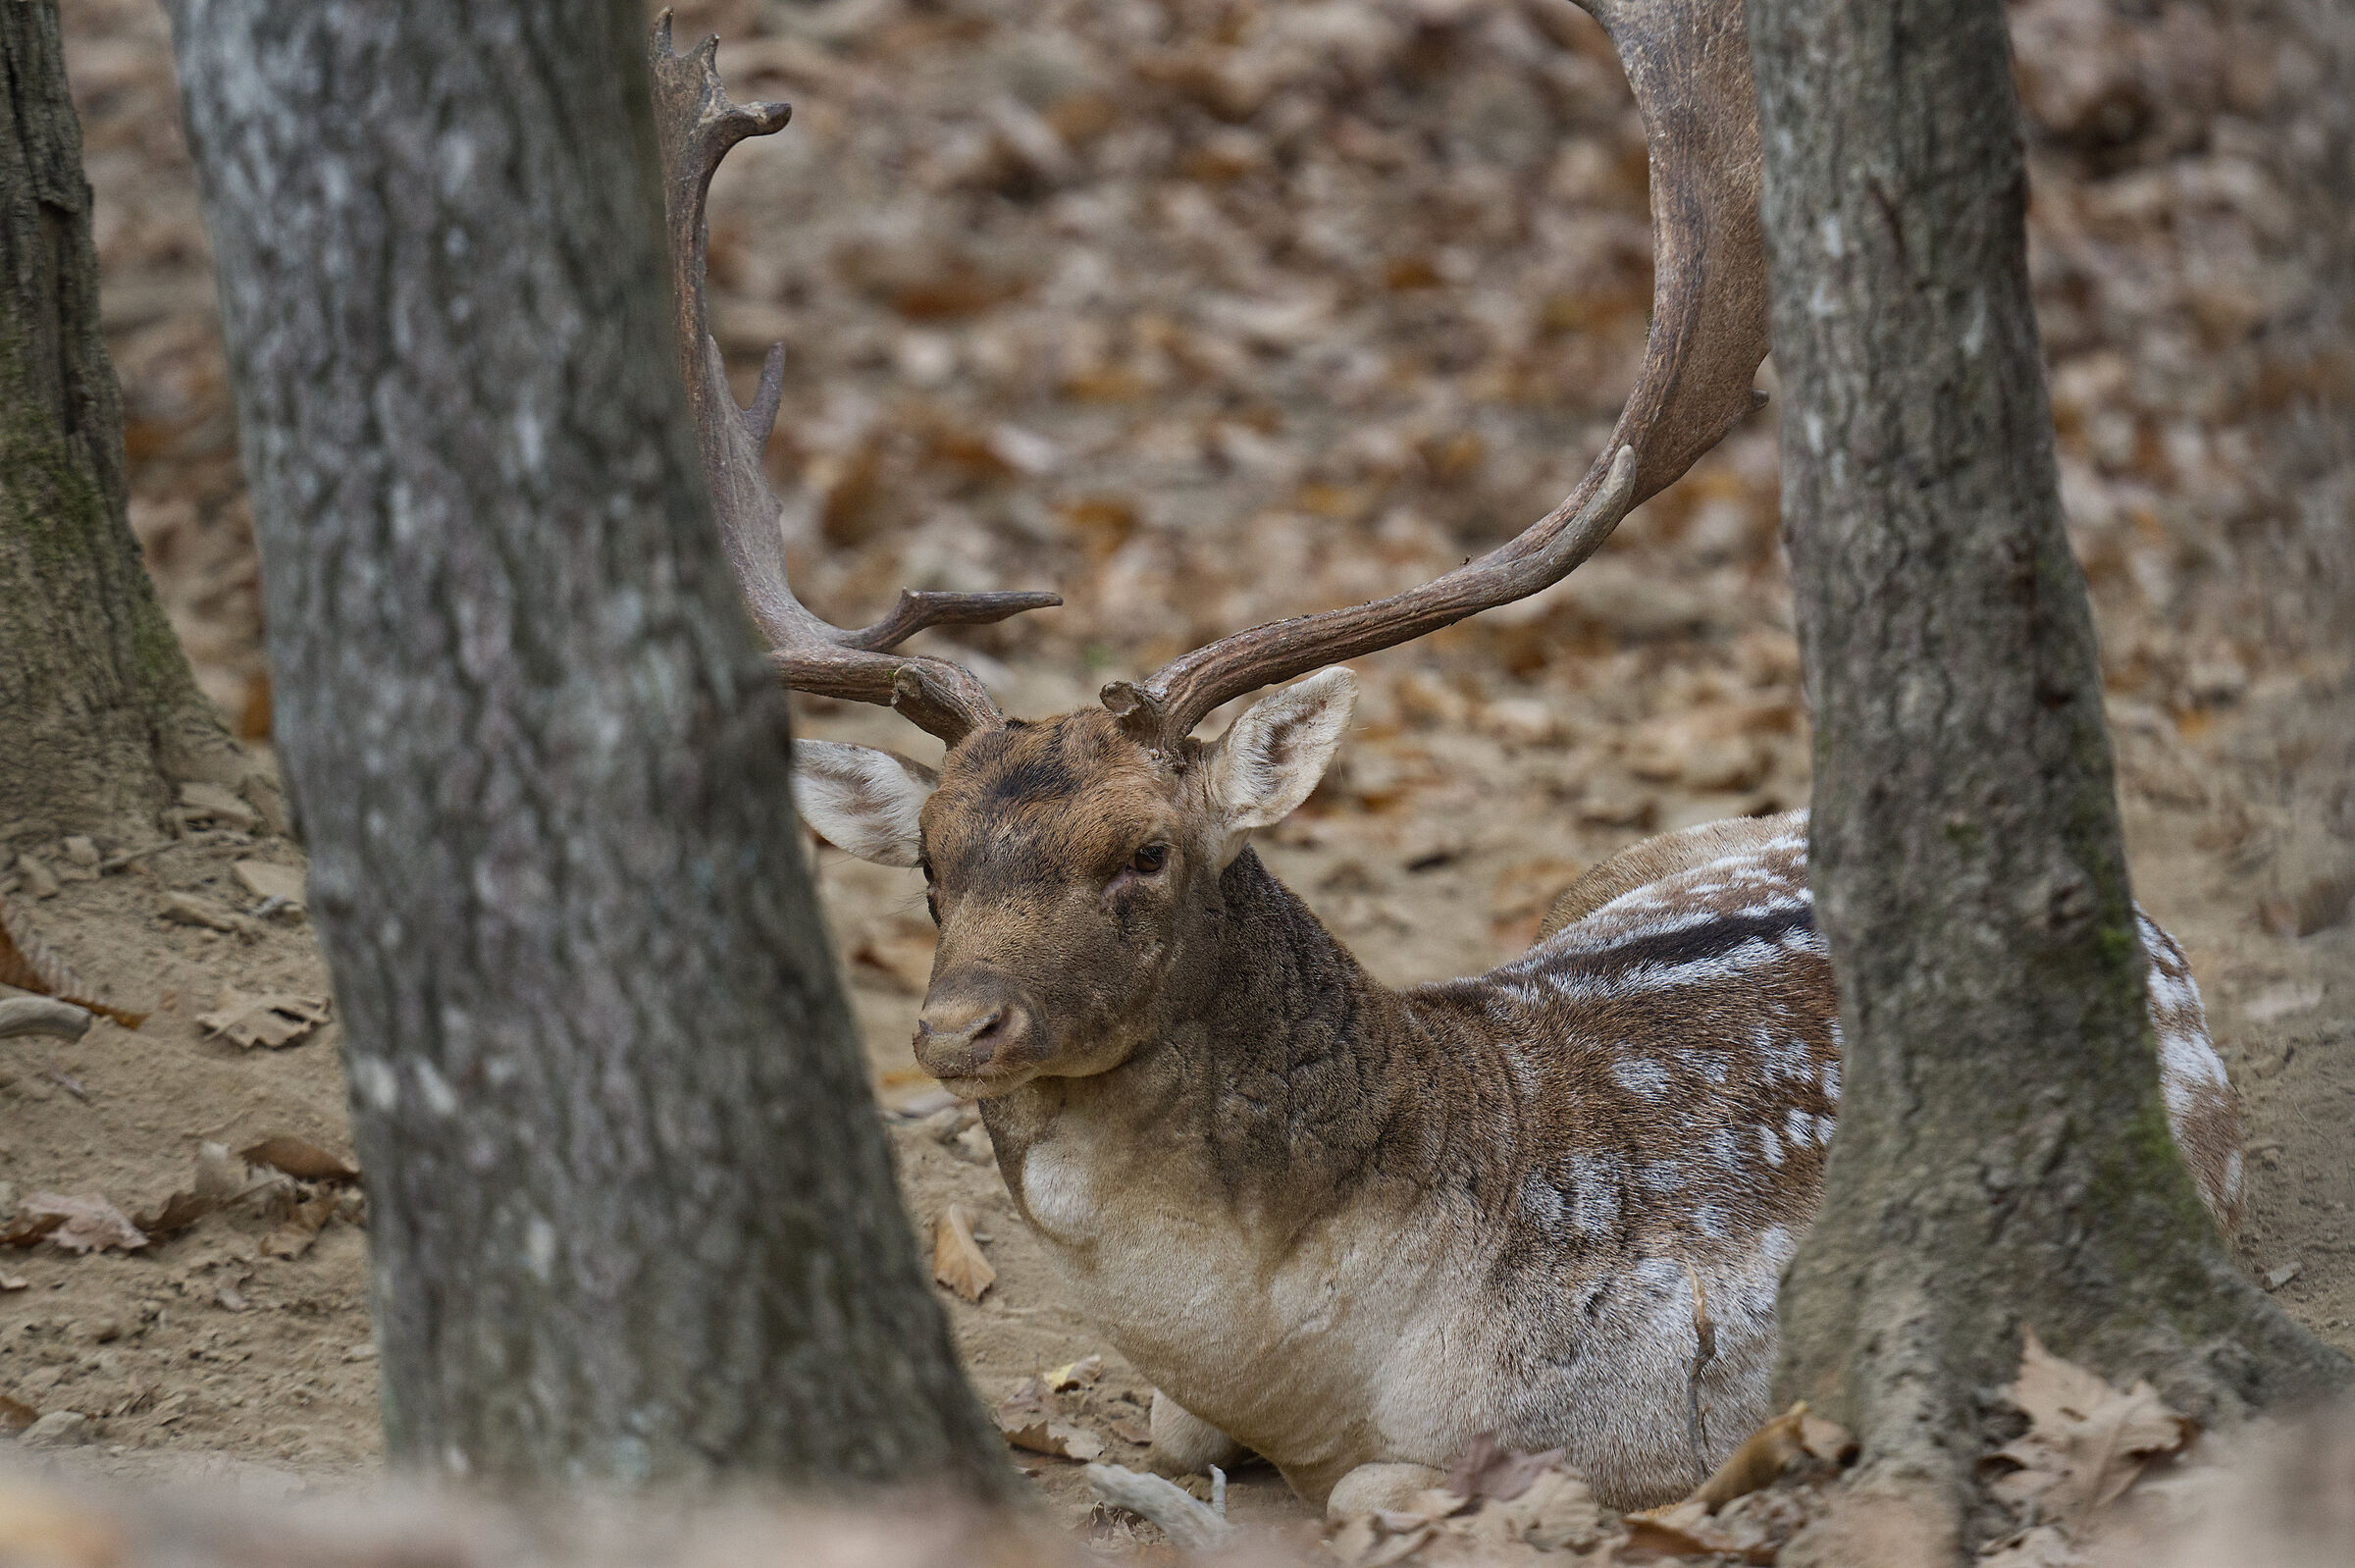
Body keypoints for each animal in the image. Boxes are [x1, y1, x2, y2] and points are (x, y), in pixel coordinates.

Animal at [647, 1, 2246, 1516]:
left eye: (1146, 850)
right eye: (930, 862)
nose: (956, 1025)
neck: (1312, 1352)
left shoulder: (1620, 1435)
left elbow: (1371, 1486)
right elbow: (1171, 1429)